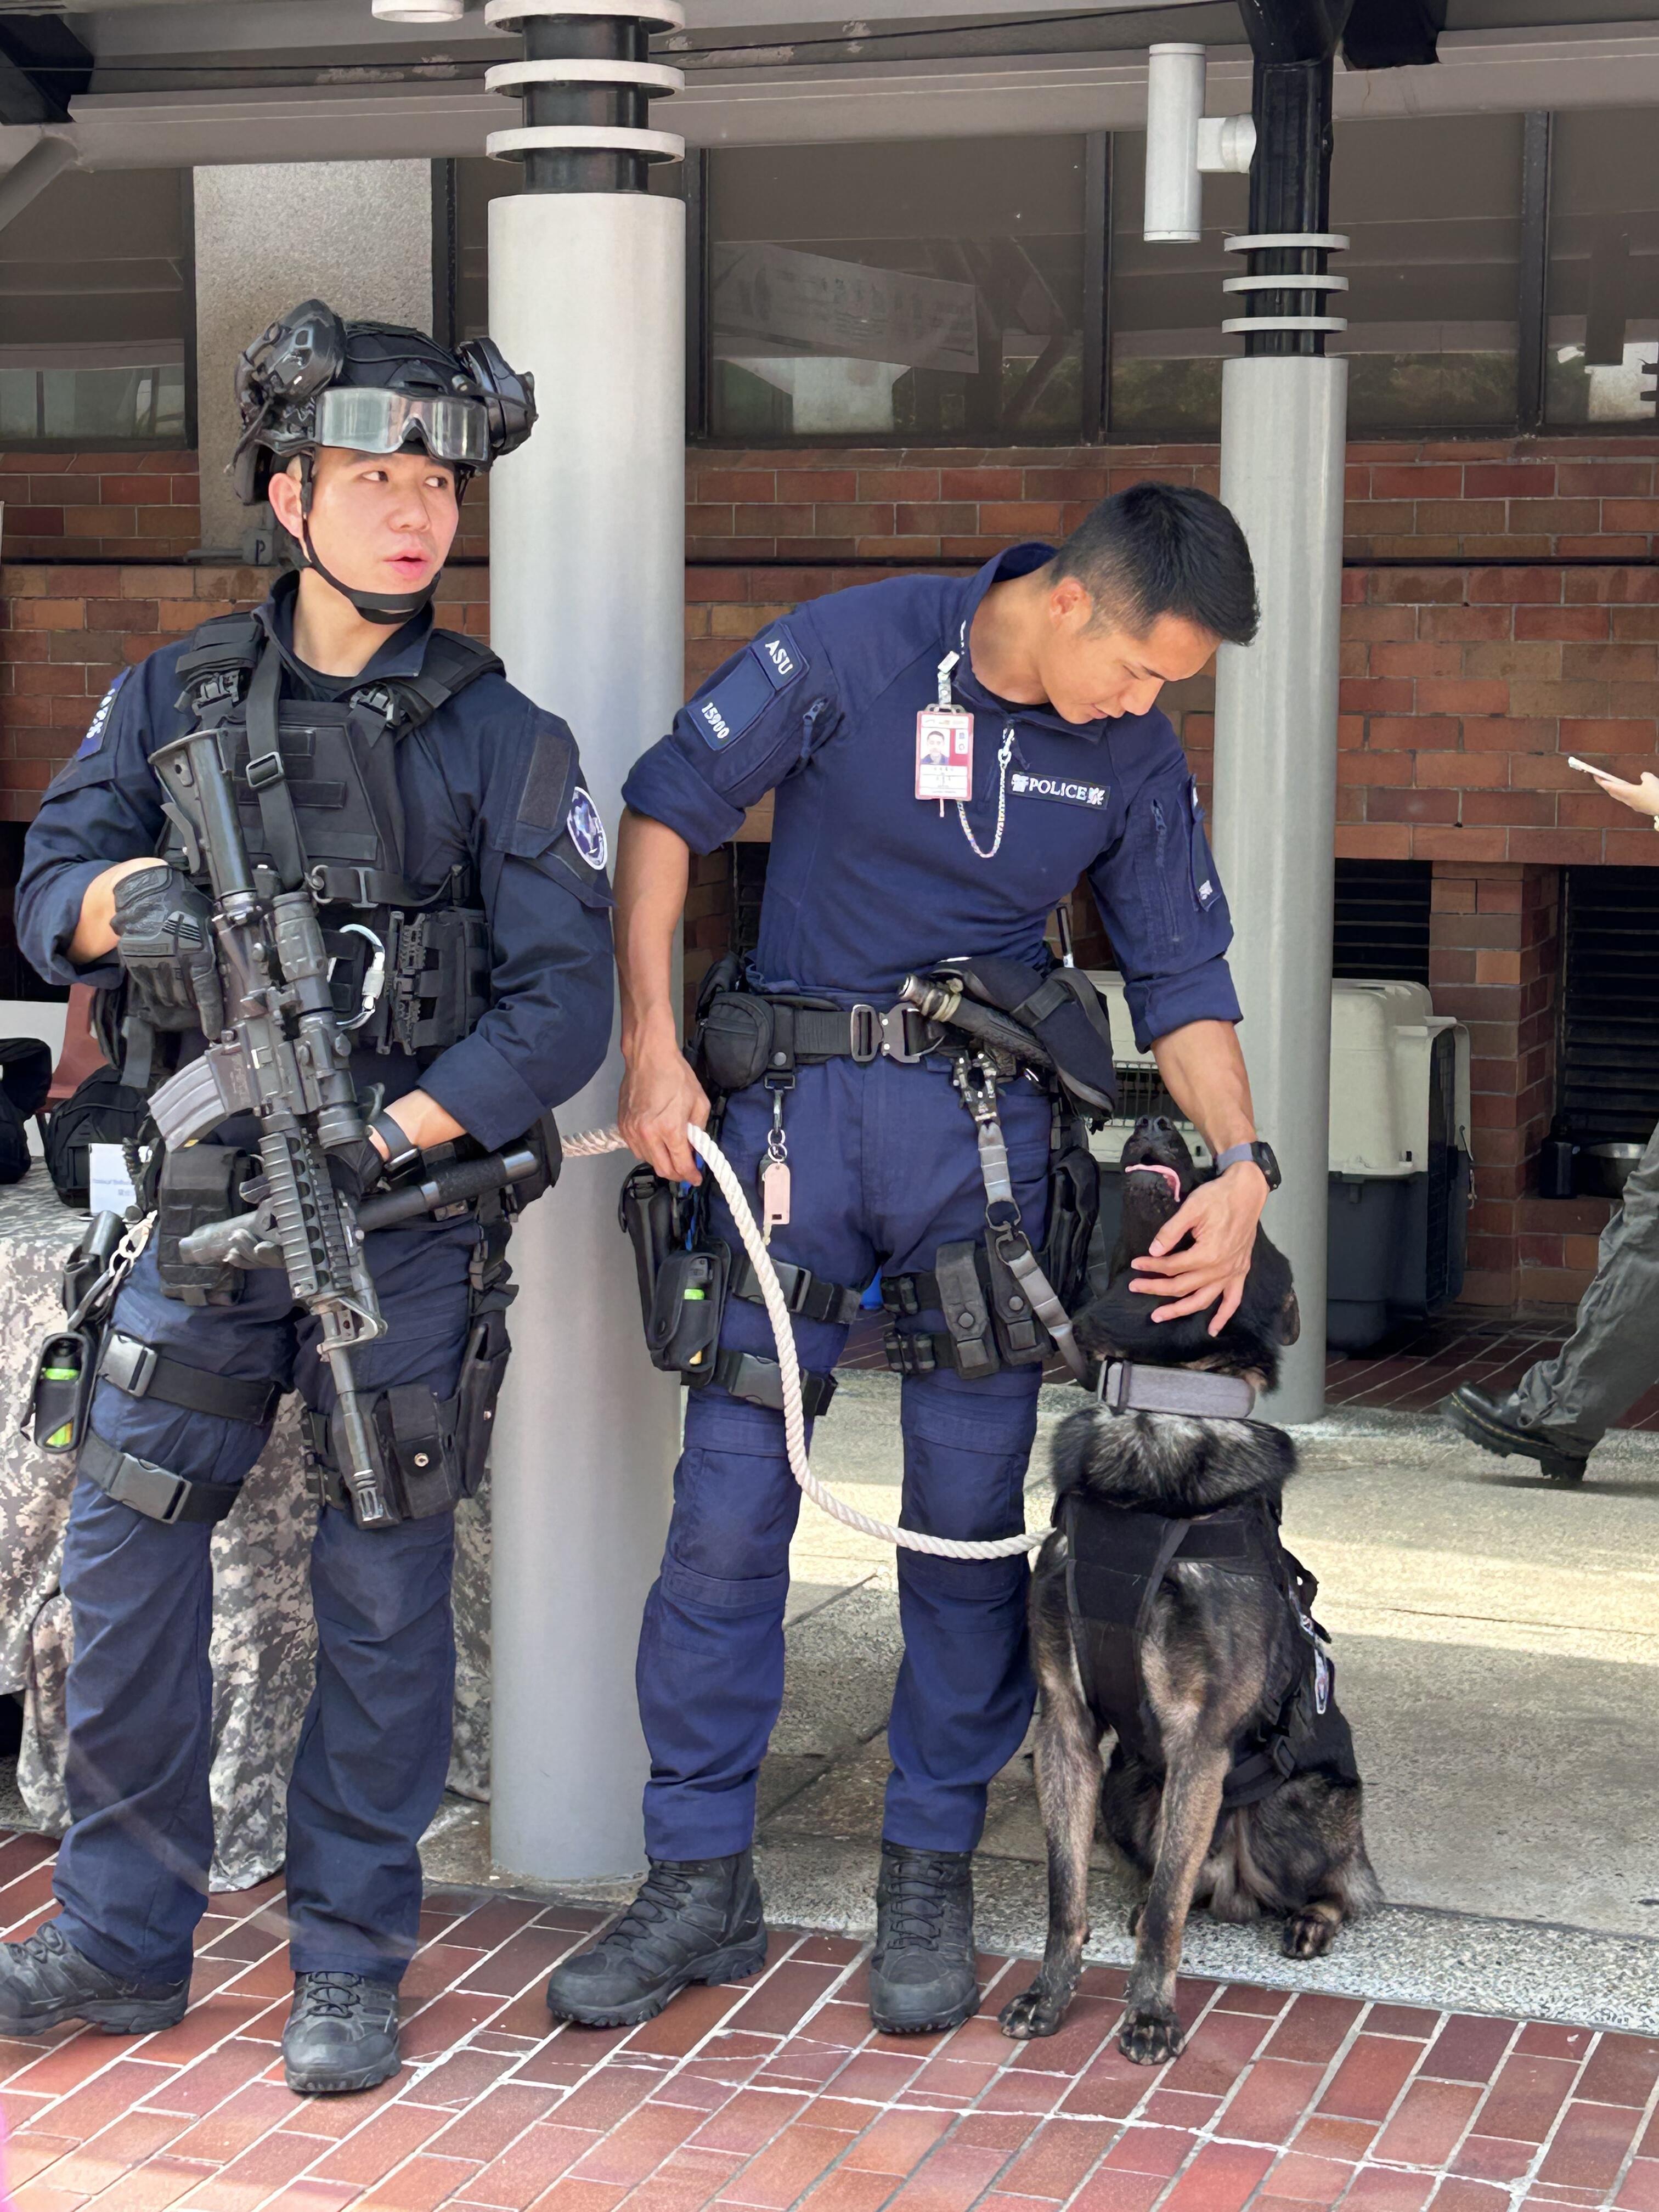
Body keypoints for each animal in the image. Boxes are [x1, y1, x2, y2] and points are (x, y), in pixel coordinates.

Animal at [1008, 1132, 1380, 2061]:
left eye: (1223, 1180)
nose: (1161, 1132)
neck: (1156, 1413)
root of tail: (1235, 1882)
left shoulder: (1200, 1739)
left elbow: (1169, 1917)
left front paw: (1149, 2014)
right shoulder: (1065, 1727)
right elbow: (1067, 1894)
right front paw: (1050, 1993)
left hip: (1306, 1803)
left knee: (1329, 1885)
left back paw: (1311, 1919)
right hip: (1126, 1788)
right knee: (1168, 1881)